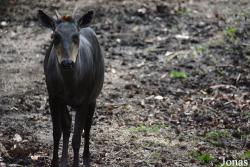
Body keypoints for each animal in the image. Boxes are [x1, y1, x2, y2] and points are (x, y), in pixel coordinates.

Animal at [36, 9, 104, 166]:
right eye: (55, 37)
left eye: (76, 37)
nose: (67, 63)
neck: (70, 85)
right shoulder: (53, 96)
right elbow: (57, 132)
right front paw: (55, 162)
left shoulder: (84, 100)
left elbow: (77, 138)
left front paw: (76, 163)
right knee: (67, 126)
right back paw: (64, 160)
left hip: (93, 97)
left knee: (88, 127)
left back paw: (86, 160)